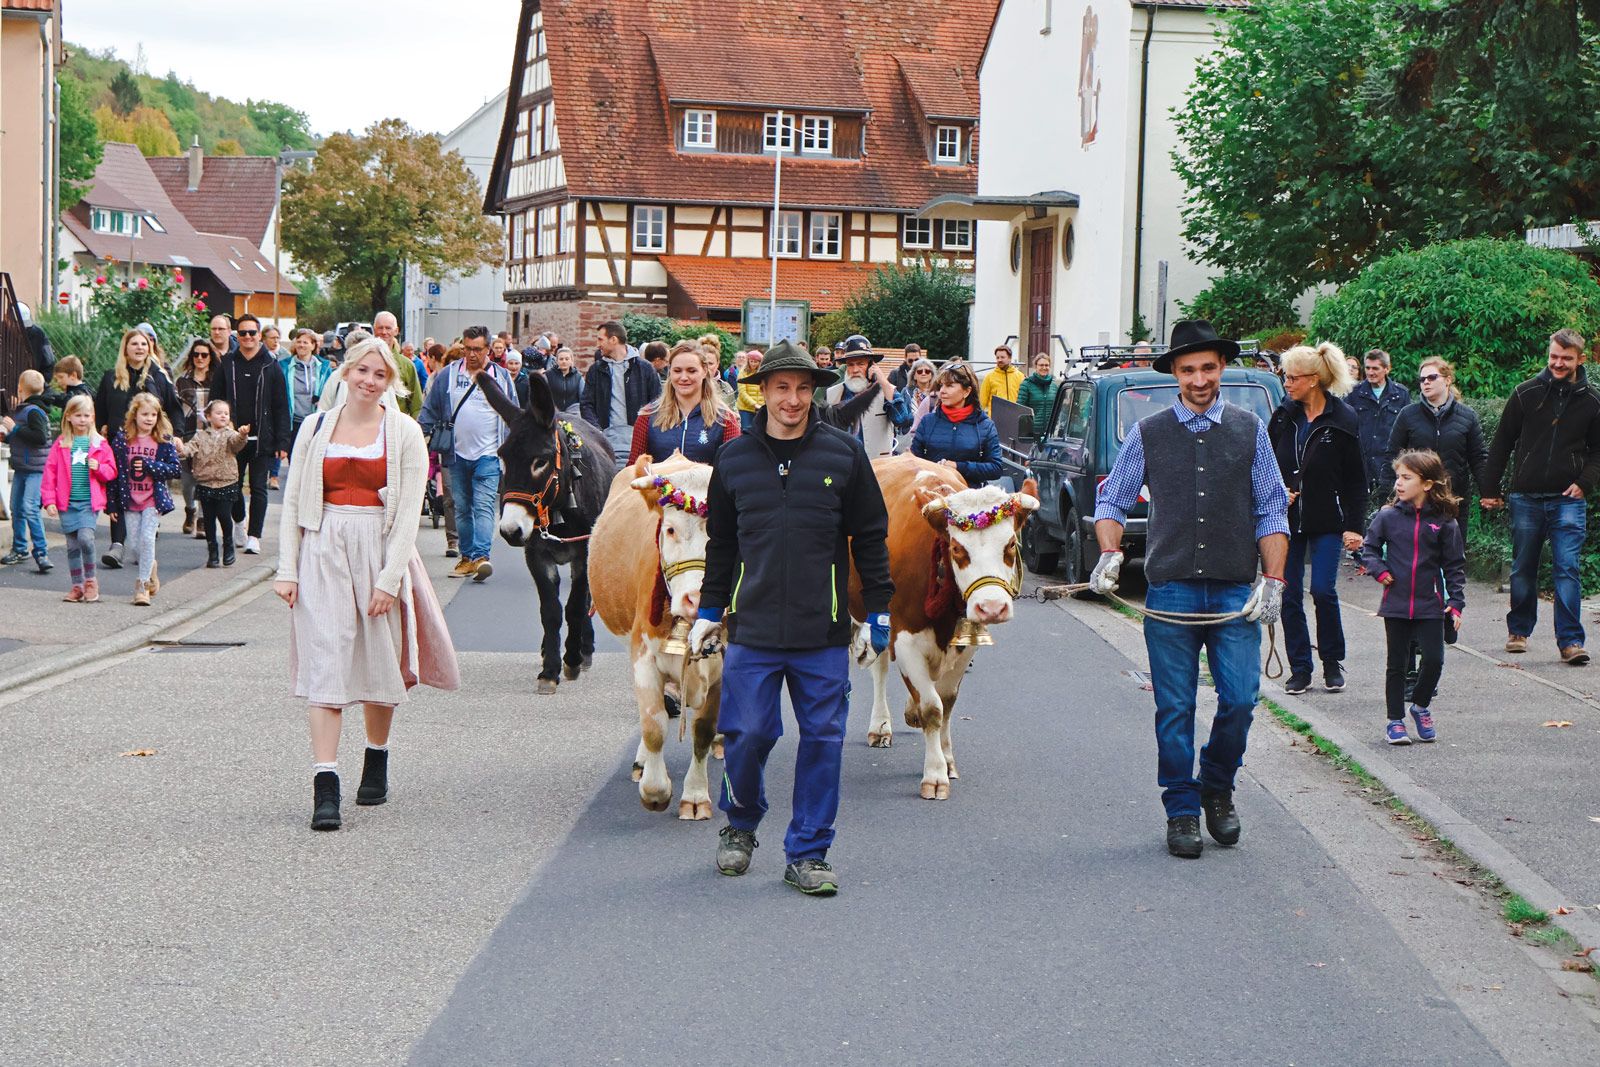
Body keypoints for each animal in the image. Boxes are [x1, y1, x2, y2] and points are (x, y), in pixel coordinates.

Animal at [844, 457, 1043, 799]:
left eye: (1009, 545)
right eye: (957, 550)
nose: (991, 607)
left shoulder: (967, 642)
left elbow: (947, 702)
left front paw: (947, 761)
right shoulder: (905, 640)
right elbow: (932, 708)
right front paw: (934, 774)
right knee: (879, 669)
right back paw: (880, 726)